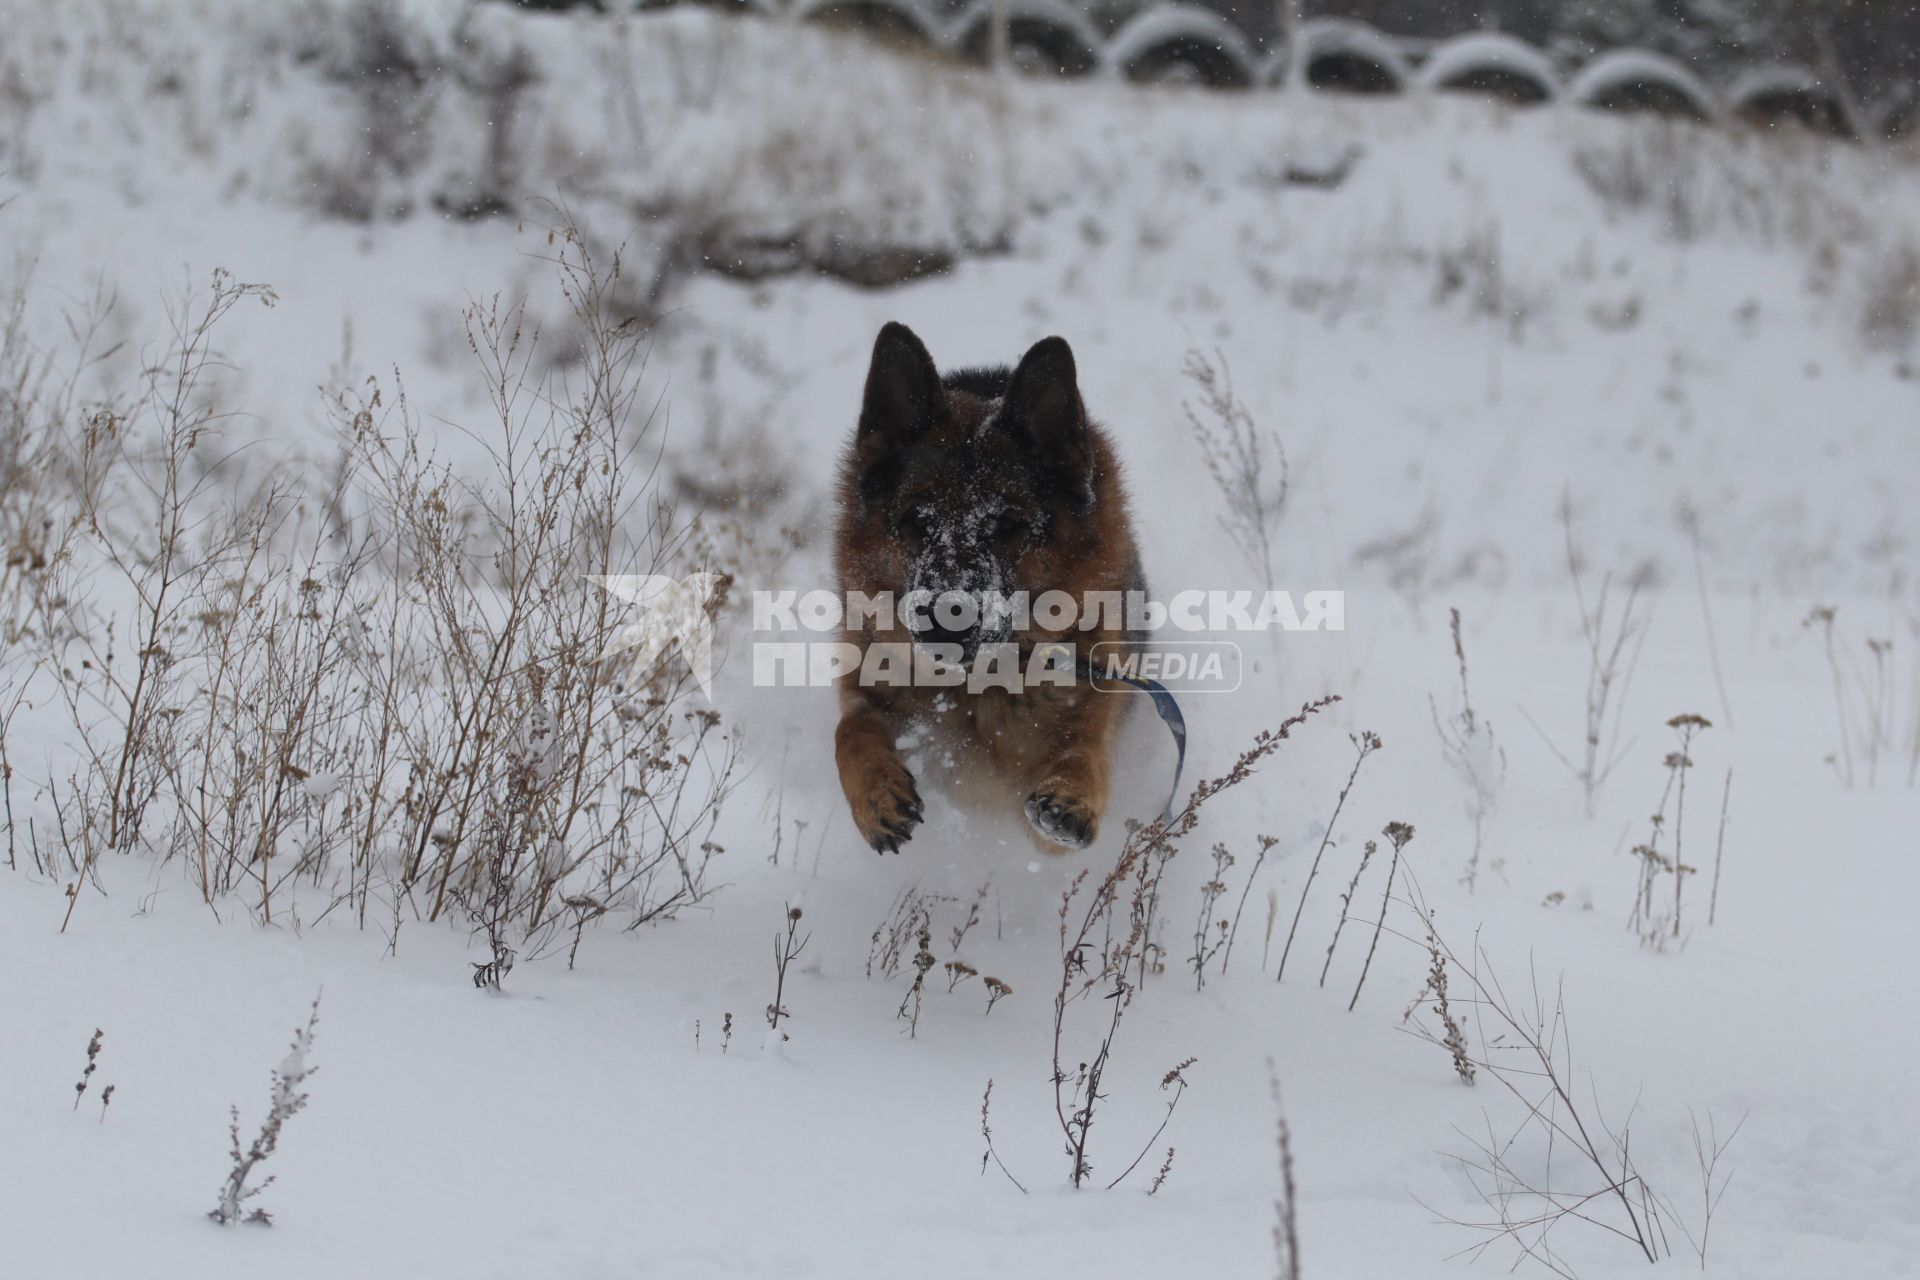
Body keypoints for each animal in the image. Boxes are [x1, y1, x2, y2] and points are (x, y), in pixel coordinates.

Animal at [829, 326, 1128, 855]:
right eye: (916, 520)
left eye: (1007, 524)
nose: (944, 624)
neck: (975, 685)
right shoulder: (865, 679)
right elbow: (852, 728)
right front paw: (877, 792)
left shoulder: (1091, 687)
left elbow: (1083, 743)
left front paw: (1071, 793)